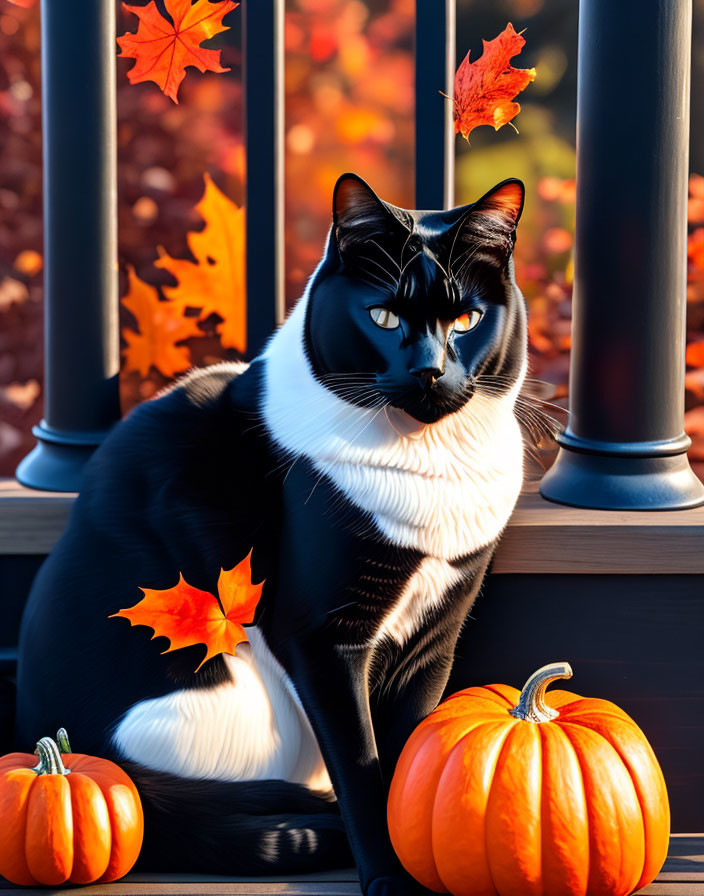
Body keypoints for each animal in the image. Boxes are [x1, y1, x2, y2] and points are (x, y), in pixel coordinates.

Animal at [16, 173, 524, 896]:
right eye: (384, 318)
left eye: (467, 320)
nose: (430, 371)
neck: (434, 468)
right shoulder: (321, 636)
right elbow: (362, 764)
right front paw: (387, 876)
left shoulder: (435, 636)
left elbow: (409, 755)